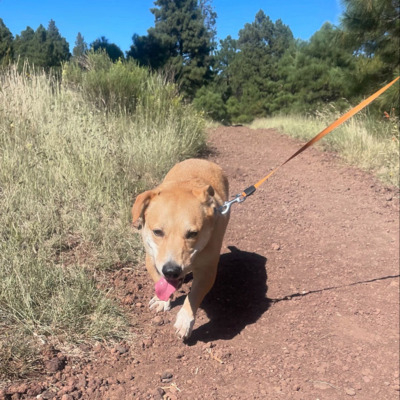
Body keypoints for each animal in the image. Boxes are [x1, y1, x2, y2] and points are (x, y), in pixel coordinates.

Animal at [133, 158, 230, 340]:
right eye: (157, 232)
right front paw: (162, 300)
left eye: (193, 233)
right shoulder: (151, 258)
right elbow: (158, 279)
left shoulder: (207, 270)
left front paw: (185, 321)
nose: (171, 271)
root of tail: (200, 160)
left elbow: (194, 295)